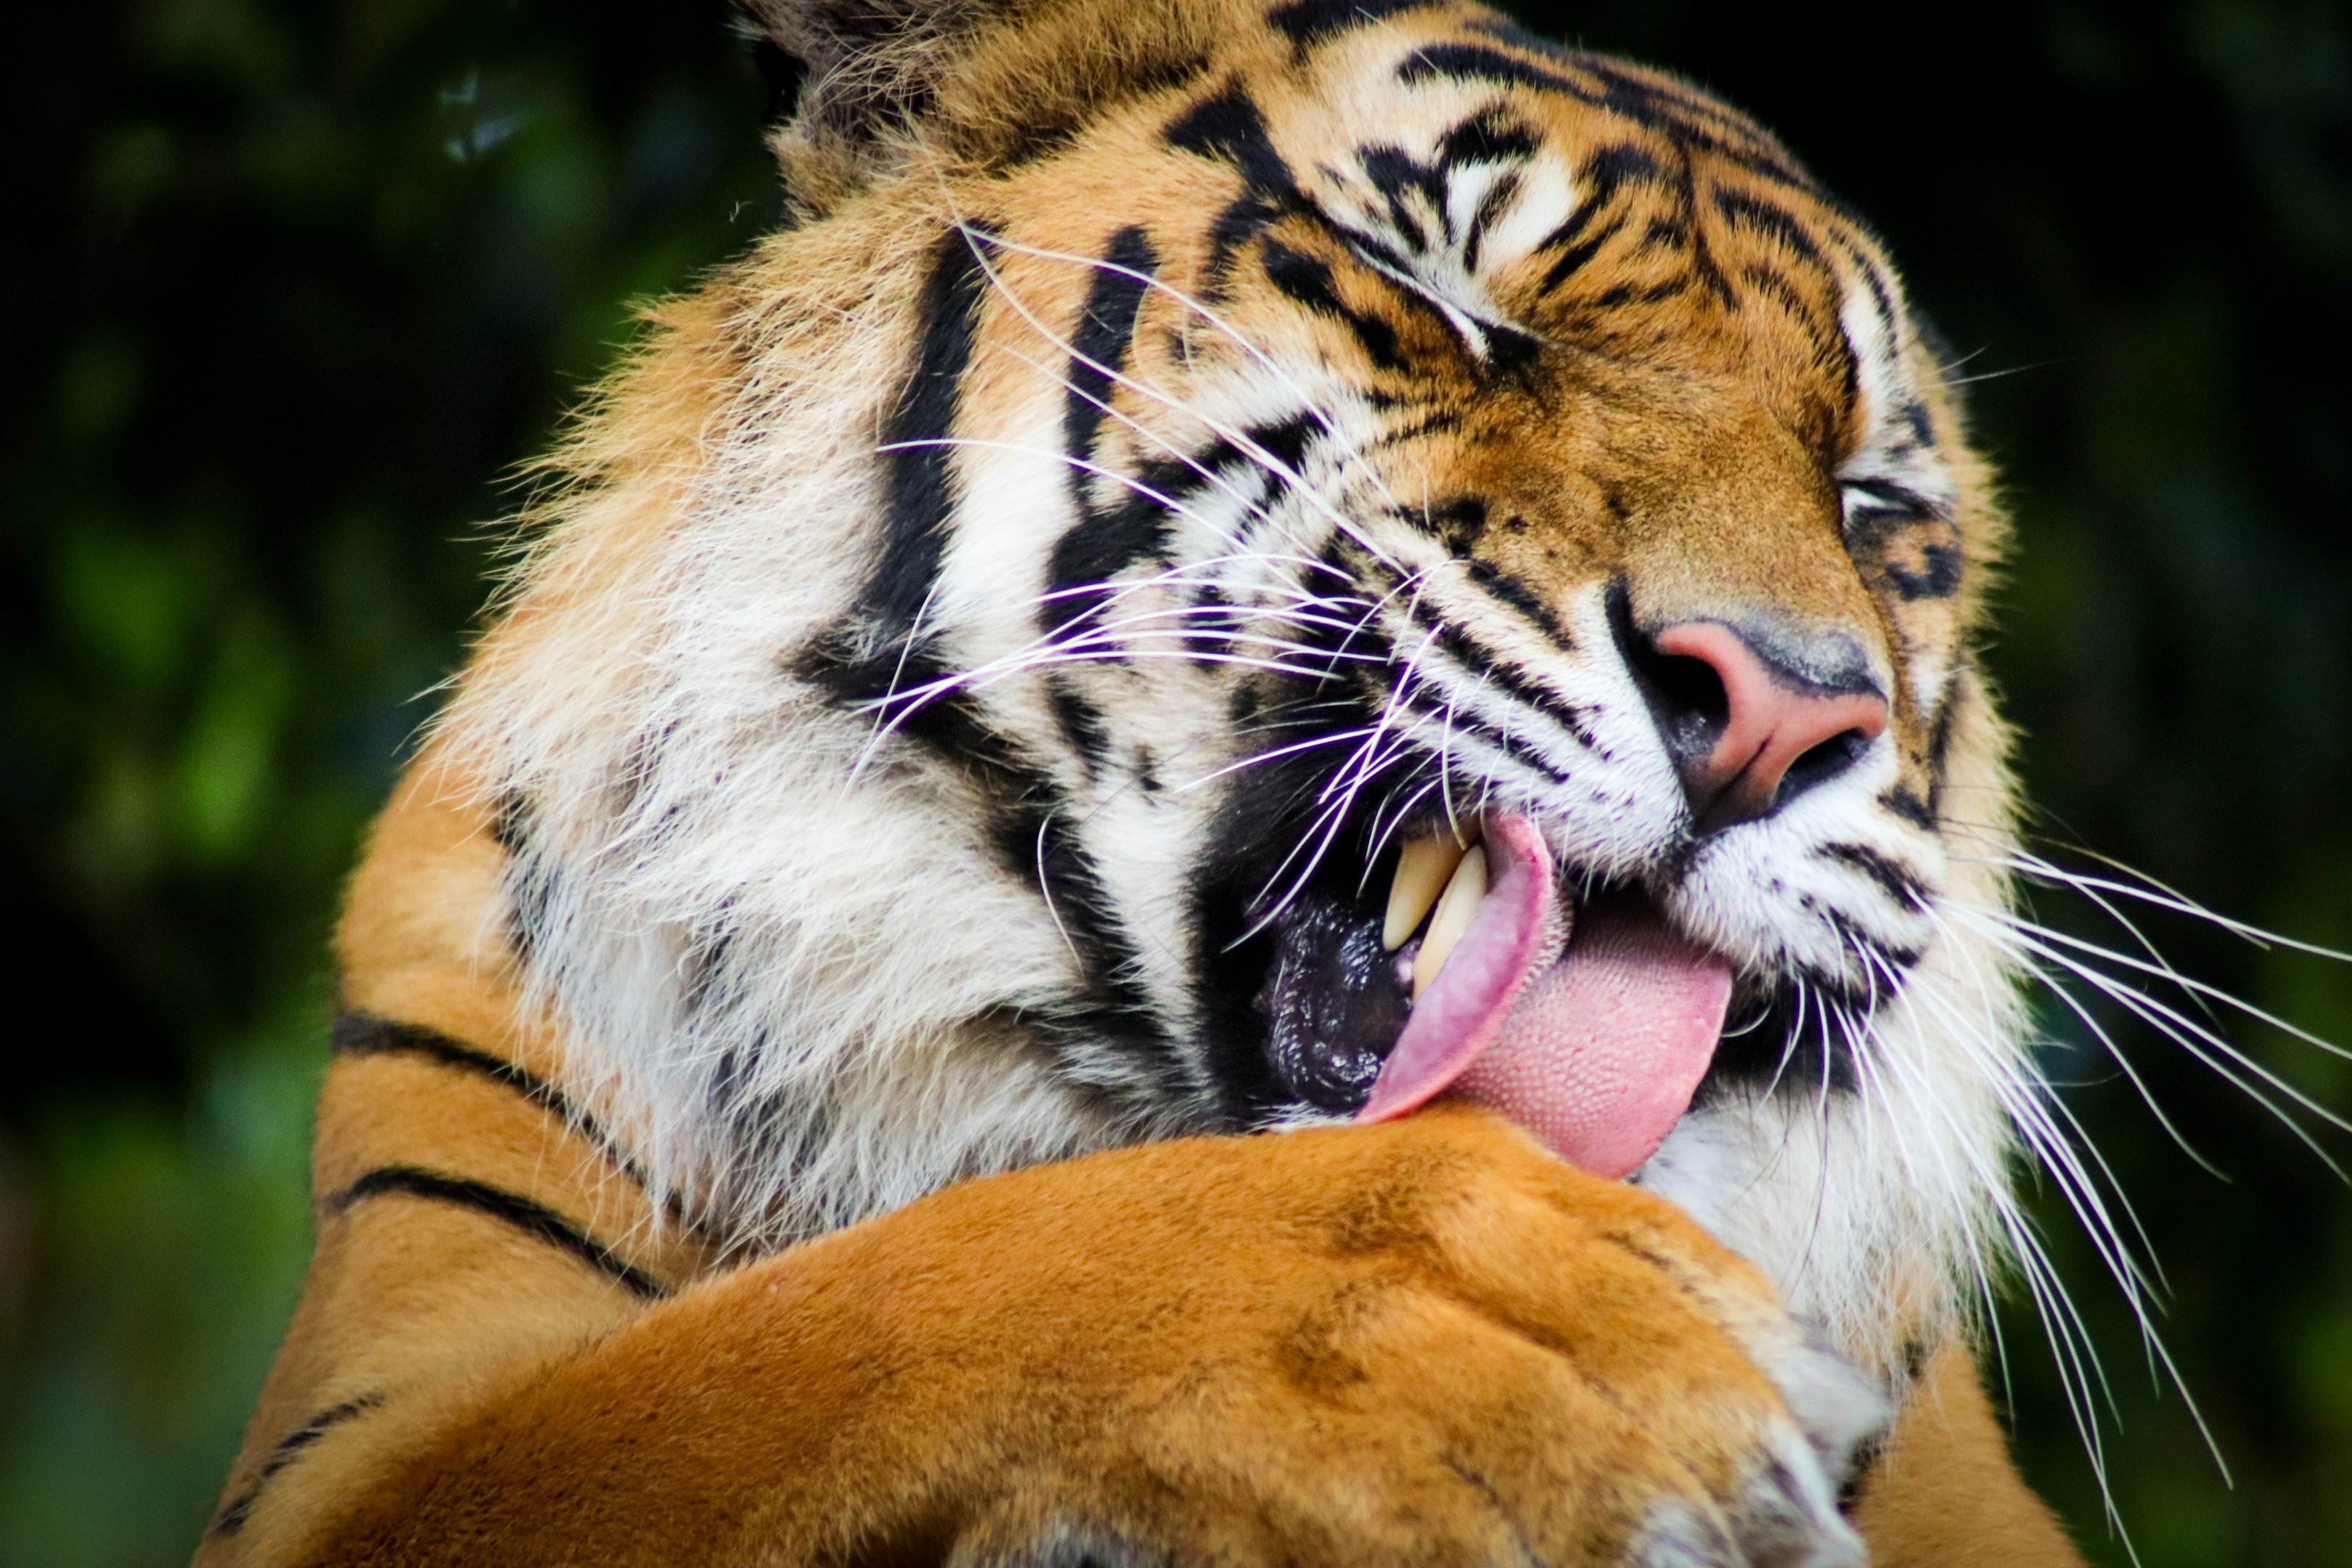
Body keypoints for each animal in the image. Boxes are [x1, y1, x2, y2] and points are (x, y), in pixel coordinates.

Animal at [196, 0, 2092, 1561]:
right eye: (1442, 301)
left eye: (1868, 499)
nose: (1778, 710)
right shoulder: (369, 1452)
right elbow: (859, 1307)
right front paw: (1506, 1324)